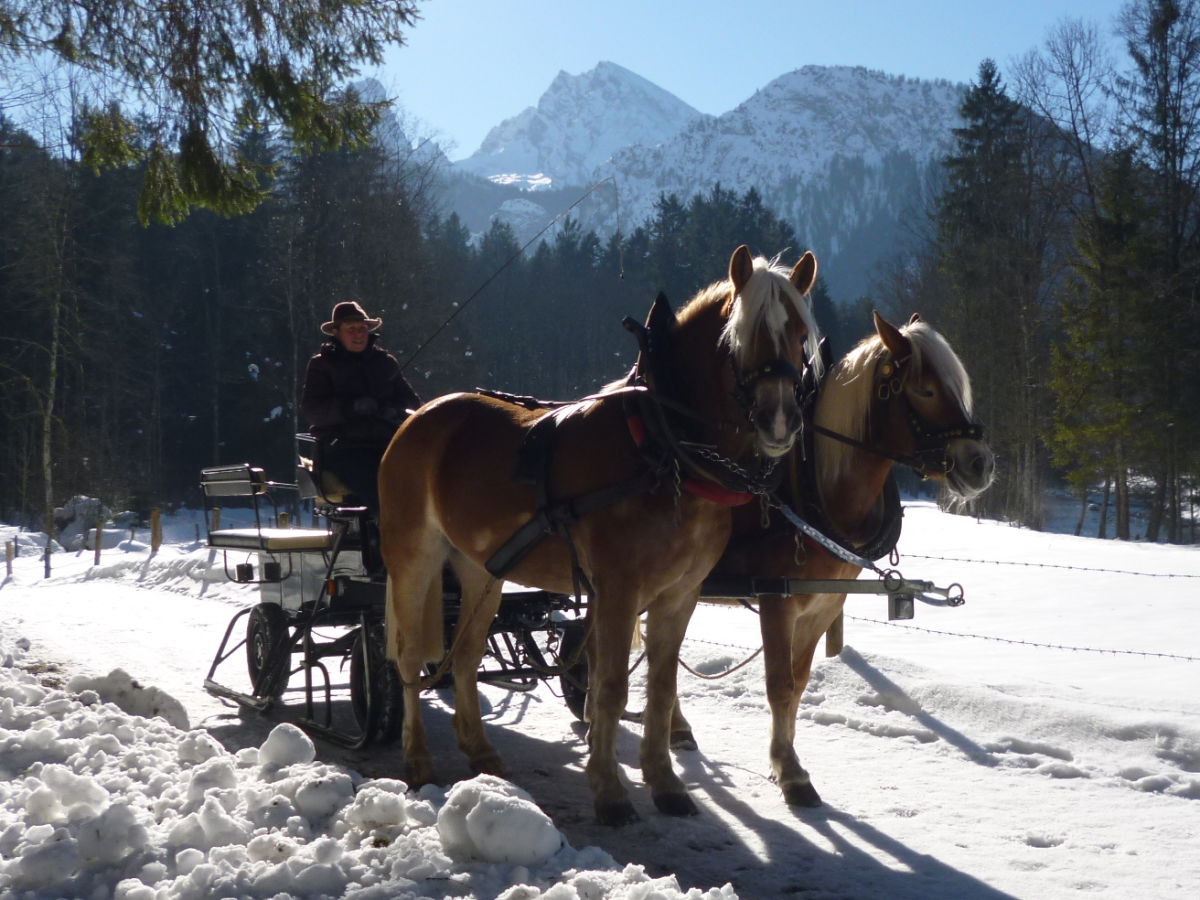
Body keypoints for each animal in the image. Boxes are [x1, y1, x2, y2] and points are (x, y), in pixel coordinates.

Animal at [381, 247, 825, 825]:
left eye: (799, 333)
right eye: (739, 335)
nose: (780, 420)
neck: (663, 448)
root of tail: (418, 417)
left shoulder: (680, 594)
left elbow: (661, 688)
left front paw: (665, 783)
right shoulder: (618, 590)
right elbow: (610, 688)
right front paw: (610, 790)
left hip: (481, 569)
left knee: (465, 657)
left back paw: (480, 752)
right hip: (412, 559)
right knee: (411, 657)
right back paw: (416, 759)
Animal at [676, 312, 993, 811]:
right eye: (924, 390)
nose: (981, 464)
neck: (813, 485)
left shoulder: (821, 605)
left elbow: (799, 684)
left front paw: (786, 762)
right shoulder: (776, 600)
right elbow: (779, 684)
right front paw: (789, 773)